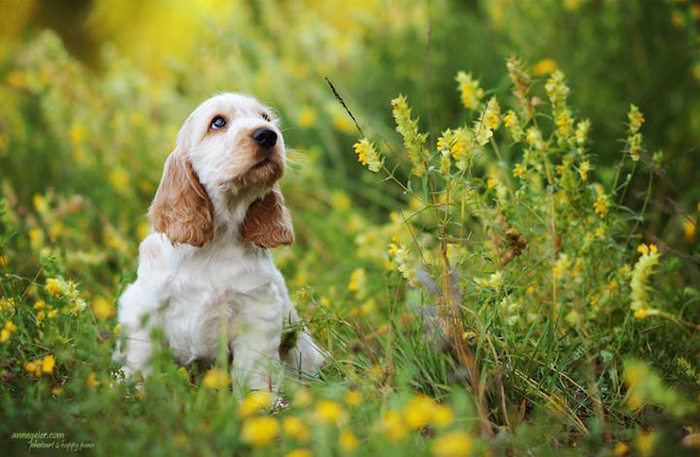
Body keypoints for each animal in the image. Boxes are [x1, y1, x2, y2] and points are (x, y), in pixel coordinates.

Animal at [114, 92, 326, 388]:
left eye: (265, 117)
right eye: (218, 123)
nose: (268, 135)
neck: (218, 241)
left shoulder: (257, 312)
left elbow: (255, 371)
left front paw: (259, 400)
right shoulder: (144, 304)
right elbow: (140, 358)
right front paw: (132, 391)